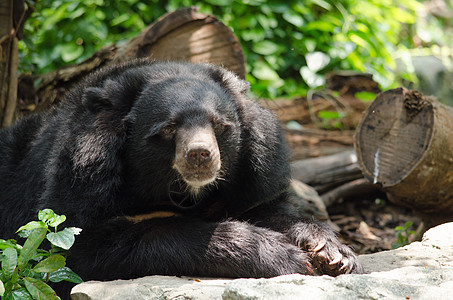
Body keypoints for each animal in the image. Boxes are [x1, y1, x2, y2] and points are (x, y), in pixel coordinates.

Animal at [0, 59, 360, 294]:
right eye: (169, 128)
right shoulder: (82, 177)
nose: (200, 154)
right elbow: (87, 246)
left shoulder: (254, 175)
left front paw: (332, 254)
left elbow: (266, 208)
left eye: (218, 124)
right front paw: (283, 256)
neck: (181, 191)